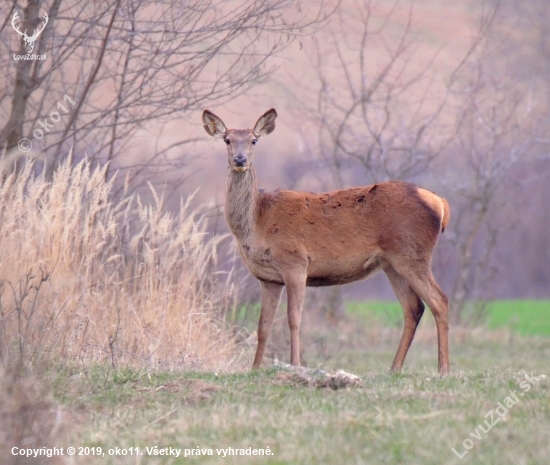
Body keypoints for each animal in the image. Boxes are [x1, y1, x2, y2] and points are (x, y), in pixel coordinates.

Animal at [203, 108, 452, 374]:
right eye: (227, 140)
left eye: (253, 140)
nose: (240, 160)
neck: (258, 221)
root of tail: (440, 203)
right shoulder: (267, 278)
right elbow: (263, 324)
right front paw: (256, 368)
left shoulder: (296, 263)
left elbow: (293, 319)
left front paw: (296, 364)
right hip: (391, 263)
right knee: (413, 308)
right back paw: (394, 368)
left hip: (412, 253)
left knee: (439, 301)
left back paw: (443, 369)